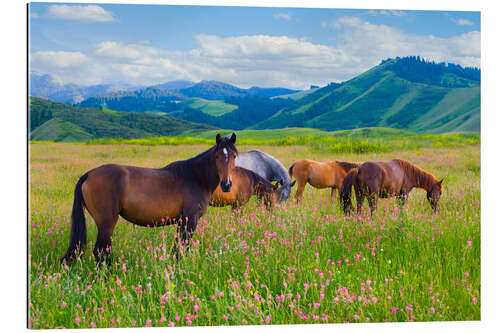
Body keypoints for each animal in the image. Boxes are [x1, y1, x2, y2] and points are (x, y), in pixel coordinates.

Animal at [62, 131, 238, 264]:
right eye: (217, 157)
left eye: (234, 156)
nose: (226, 184)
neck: (195, 177)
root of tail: (89, 174)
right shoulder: (190, 219)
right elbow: (183, 246)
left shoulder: (182, 221)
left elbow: (178, 247)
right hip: (107, 222)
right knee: (100, 251)